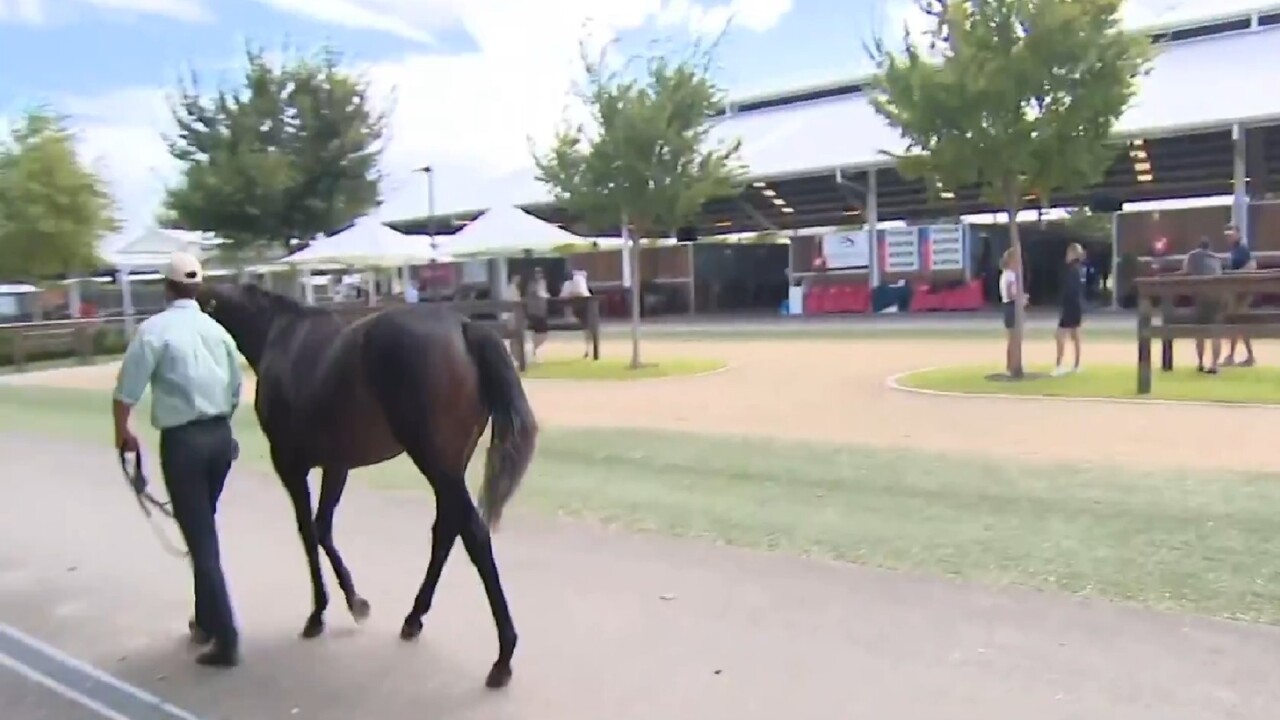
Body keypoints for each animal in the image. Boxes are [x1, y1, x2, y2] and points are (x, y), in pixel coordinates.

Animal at [200, 283, 540, 686]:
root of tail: (464, 328)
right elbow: (322, 528)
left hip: (435, 462)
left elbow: (308, 533)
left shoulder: (290, 466)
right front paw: (356, 603)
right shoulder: (336, 465)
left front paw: (318, 614)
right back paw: (414, 619)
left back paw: (503, 656)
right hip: (450, 464)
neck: (280, 337)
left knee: (473, 533)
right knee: (447, 529)